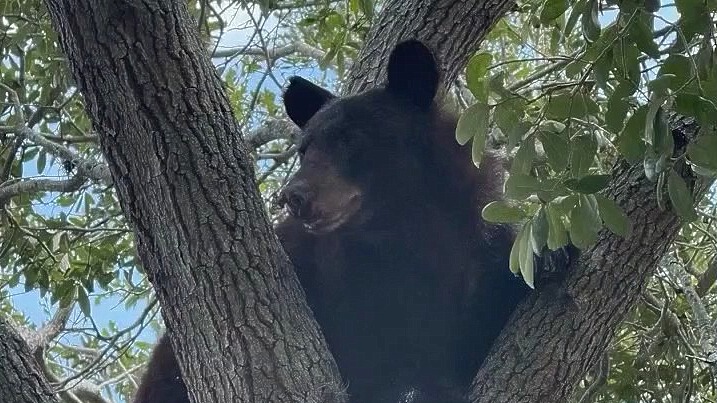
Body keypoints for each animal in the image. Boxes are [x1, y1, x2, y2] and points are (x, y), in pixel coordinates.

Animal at [130, 39, 534, 403]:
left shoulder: (478, 241)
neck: (408, 227)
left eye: (349, 138)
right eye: (304, 149)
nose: (293, 196)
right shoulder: (352, 286)